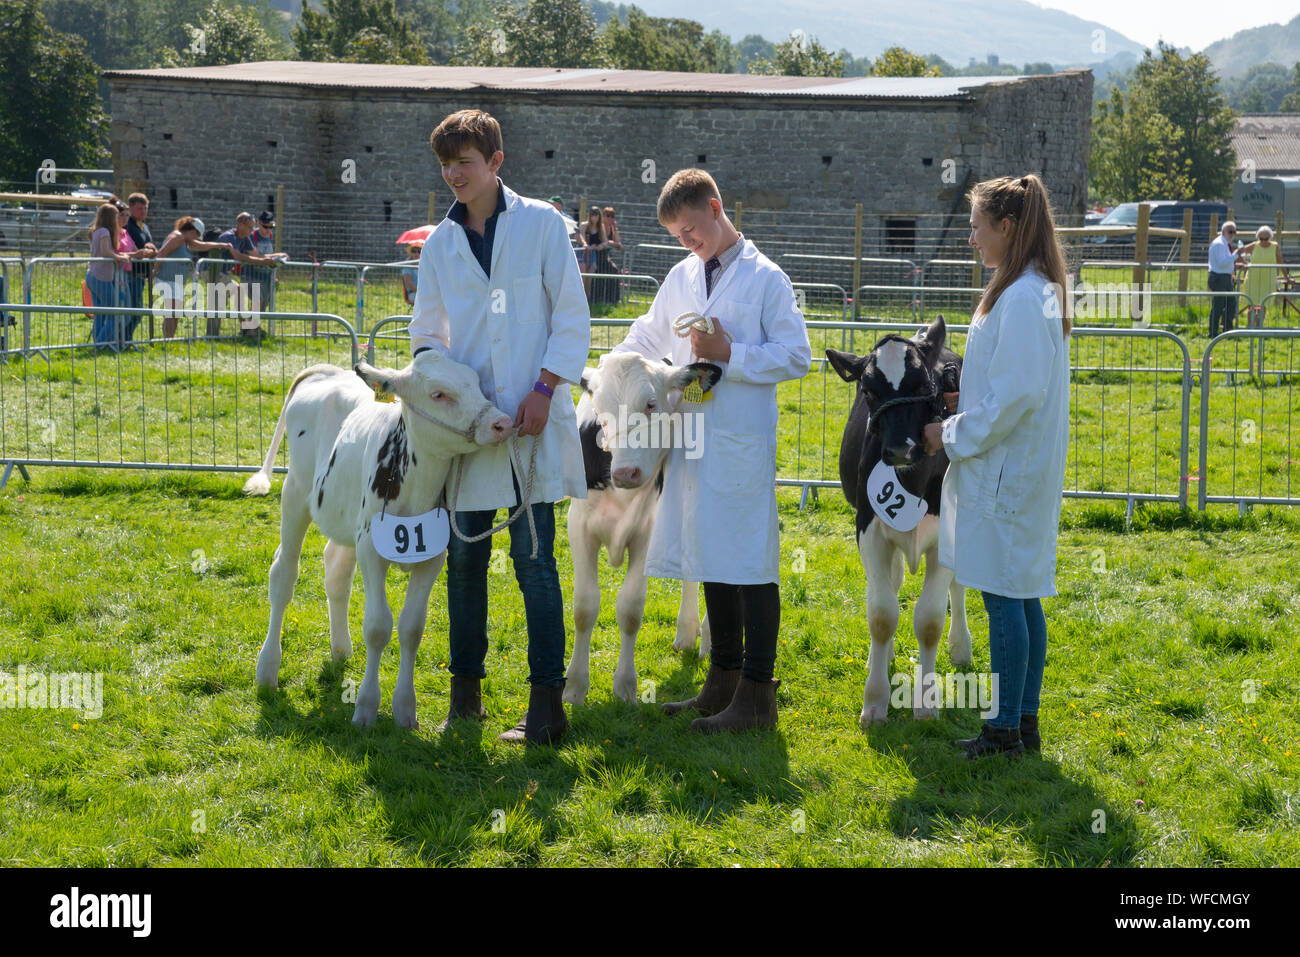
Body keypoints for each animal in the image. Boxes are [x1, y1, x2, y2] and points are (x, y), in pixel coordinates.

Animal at [244, 356, 512, 728]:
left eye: (477, 383)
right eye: (438, 394)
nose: (503, 423)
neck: (416, 482)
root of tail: (327, 371)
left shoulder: (432, 557)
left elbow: (411, 627)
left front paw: (405, 708)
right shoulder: (371, 549)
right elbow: (377, 626)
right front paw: (367, 706)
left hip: (345, 518)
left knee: (336, 572)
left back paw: (340, 650)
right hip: (295, 492)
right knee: (283, 575)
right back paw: (267, 668)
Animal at [561, 356, 717, 707]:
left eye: (650, 404)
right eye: (599, 411)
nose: (625, 472)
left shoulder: (648, 533)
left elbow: (630, 609)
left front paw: (625, 686)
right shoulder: (579, 527)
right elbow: (584, 607)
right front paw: (575, 687)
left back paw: (700, 637)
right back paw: (687, 634)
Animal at [826, 314, 972, 722]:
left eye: (922, 384)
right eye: (868, 391)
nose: (898, 450)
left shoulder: (948, 533)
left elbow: (930, 620)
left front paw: (927, 701)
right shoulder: (869, 531)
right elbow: (881, 614)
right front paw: (874, 700)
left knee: (957, 589)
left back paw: (961, 647)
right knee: (890, 585)